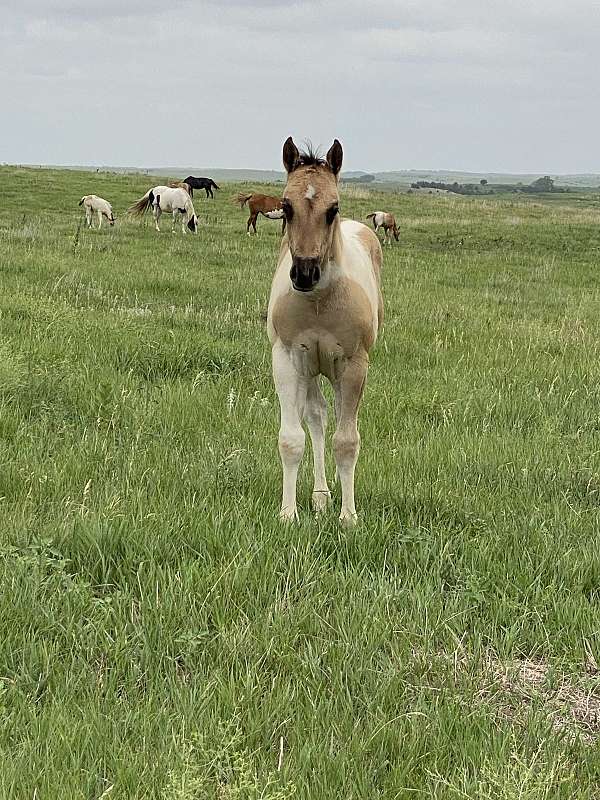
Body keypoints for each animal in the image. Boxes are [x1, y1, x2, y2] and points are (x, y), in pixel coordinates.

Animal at [267, 137, 383, 525]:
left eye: (334, 208)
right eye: (286, 207)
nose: (304, 273)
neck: (318, 302)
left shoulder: (353, 365)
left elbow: (346, 441)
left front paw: (349, 516)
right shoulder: (287, 359)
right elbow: (292, 438)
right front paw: (288, 514)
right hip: (312, 367)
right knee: (317, 418)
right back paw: (320, 495)